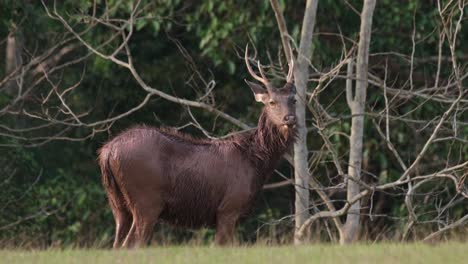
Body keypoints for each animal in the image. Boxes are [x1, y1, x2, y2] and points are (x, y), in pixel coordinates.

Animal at [97, 47, 298, 248]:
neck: (256, 164)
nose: (290, 118)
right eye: (272, 101)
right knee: (132, 243)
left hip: (118, 204)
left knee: (117, 243)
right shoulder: (229, 207)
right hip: (146, 200)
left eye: (294, 100)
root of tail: (107, 152)